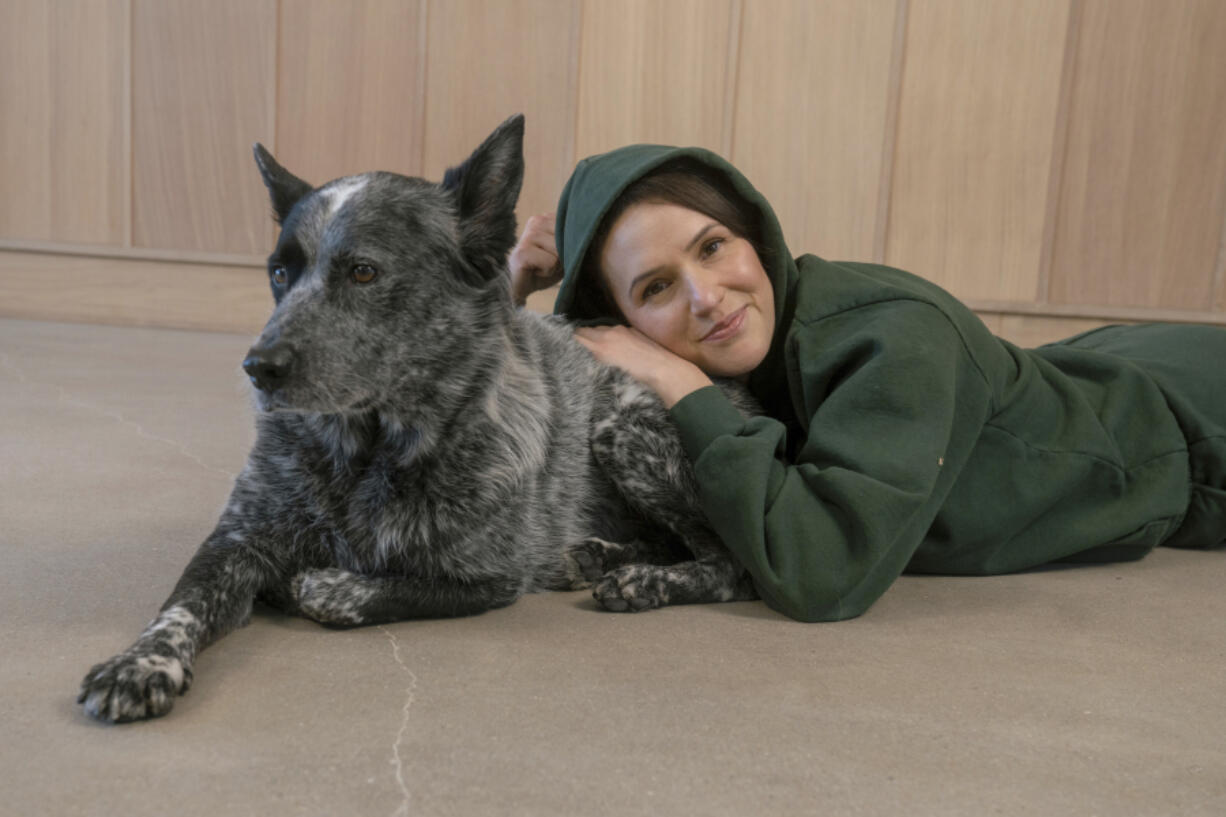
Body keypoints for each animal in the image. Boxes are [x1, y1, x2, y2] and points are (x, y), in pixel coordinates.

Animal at [76, 112, 755, 721]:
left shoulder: (483, 579)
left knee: (730, 566)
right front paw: (139, 663)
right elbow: (180, 603)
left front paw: (314, 585)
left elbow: (339, 589)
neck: (365, 454)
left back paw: (642, 581)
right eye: (279, 272)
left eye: (363, 271)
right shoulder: (236, 539)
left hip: (621, 429)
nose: (258, 367)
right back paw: (593, 557)